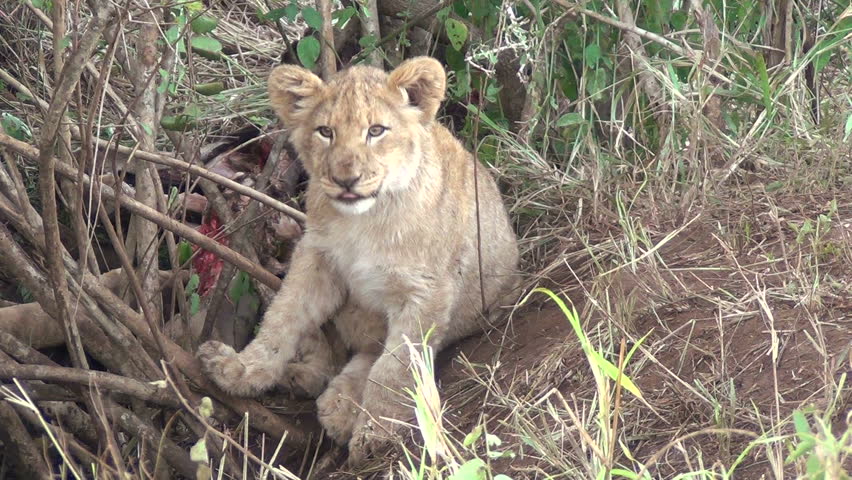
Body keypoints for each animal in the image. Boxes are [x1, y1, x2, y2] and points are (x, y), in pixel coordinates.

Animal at [197, 57, 519, 462]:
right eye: (325, 132)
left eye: (376, 131)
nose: (345, 179)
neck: (363, 223)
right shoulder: (316, 258)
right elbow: (282, 319)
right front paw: (240, 370)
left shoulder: (426, 293)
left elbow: (394, 369)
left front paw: (375, 433)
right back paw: (306, 381)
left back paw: (340, 408)